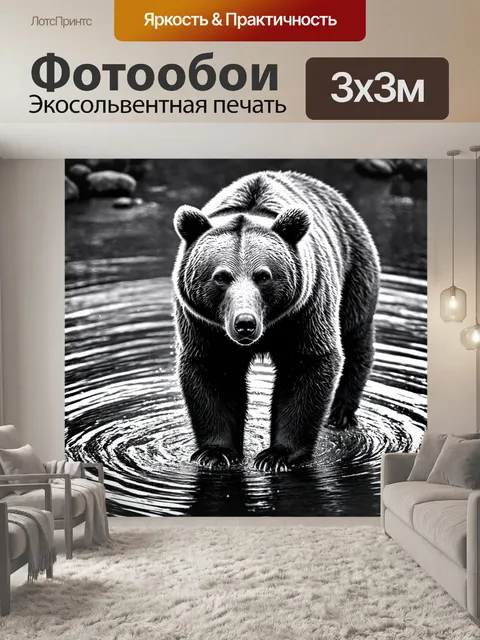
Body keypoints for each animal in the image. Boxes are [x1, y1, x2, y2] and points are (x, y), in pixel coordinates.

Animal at [172, 170, 380, 472]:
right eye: (221, 276)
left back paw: (341, 412)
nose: (245, 323)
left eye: (263, 275)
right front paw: (215, 453)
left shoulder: (305, 309)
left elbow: (308, 364)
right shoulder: (202, 323)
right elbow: (213, 371)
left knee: (355, 336)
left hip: (353, 270)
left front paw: (277, 455)